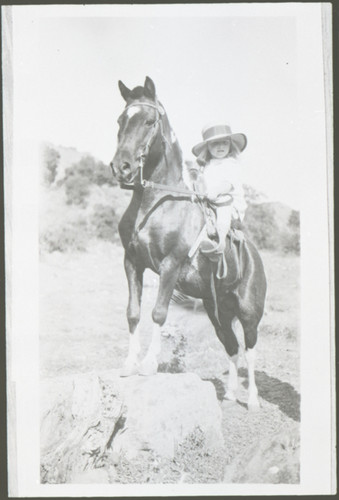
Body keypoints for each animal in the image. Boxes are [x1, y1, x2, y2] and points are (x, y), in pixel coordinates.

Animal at [111, 76, 268, 408]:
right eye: (120, 120)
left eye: (148, 121)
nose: (122, 168)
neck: (156, 204)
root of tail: (254, 256)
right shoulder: (132, 263)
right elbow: (133, 312)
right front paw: (129, 364)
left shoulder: (170, 265)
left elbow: (158, 313)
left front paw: (148, 364)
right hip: (218, 312)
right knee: (232, 347)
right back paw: (230, 395)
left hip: (249, 313)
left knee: (250, 350)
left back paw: (252, 400)